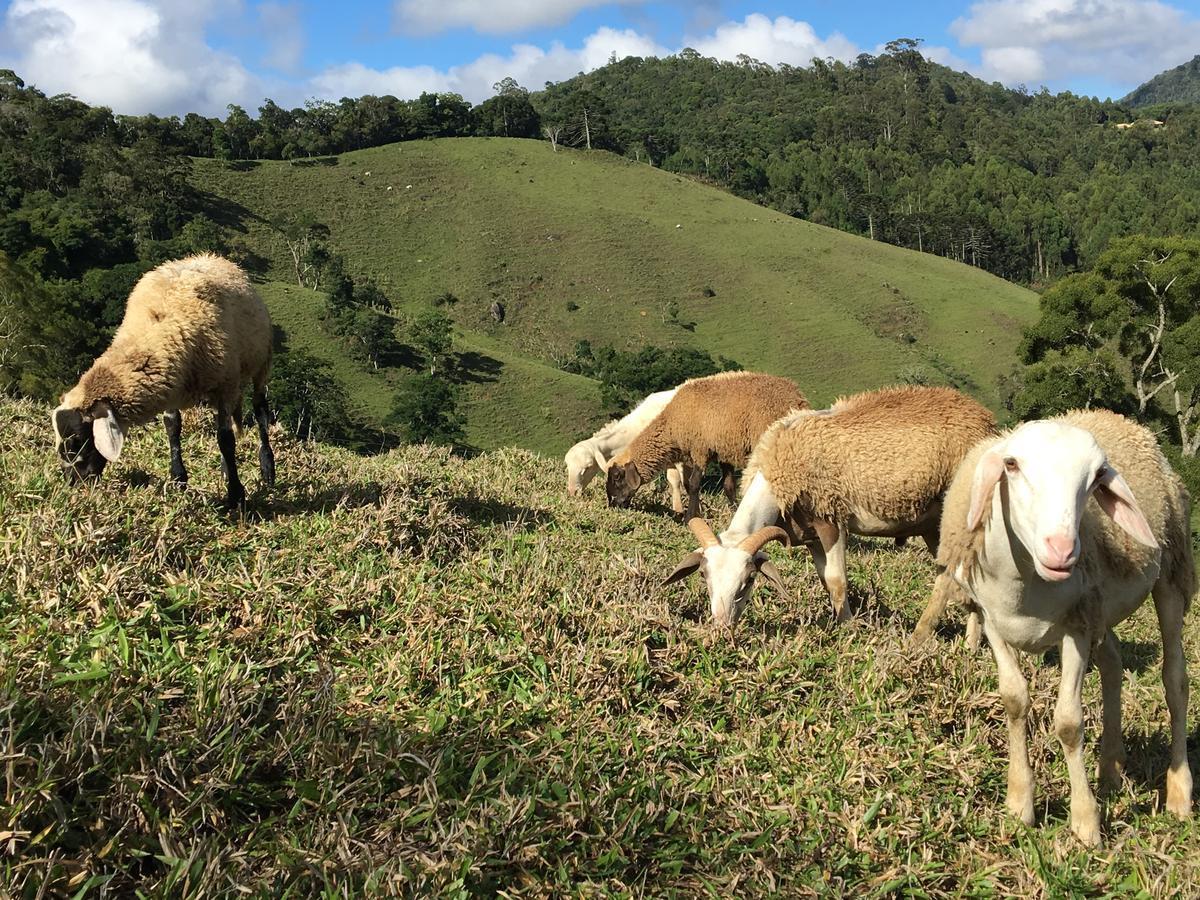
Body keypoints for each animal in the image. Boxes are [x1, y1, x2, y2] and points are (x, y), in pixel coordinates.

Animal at [52, 254, 274, 511]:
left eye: (77, 440)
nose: (72, 481)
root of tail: (210, 256)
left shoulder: (225, 385)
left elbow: (225, 439)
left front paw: (236, 495)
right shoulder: (172, 387)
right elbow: (173, 427)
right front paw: (178, 478)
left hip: (260, 362)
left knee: (259, 410)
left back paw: (267, 468)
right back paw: (226, 469)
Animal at [667, 386, 993, 628]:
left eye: (748, 580)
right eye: (704, 575)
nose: (721, 626)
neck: (780, 470)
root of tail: (985, 419)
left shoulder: (830, 520)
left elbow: (837, 582)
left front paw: (847, 629)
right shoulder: (810, 535)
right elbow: (825, 581)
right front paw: (837, 622)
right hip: (933, 527)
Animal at [916, 412, 1190, 849]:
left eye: (1097, 477)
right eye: (1011, 465)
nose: (1061, 550)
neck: (1025, 586)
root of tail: (1125, 421)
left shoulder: (1074, 629)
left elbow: (1068, 722)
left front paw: (1085, 821)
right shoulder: (995, 622)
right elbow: (1013, 700)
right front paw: (1019, 803)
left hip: (1170, 575)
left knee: (1175, 681)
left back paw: (1179, 792)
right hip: (1101, 608)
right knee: (1113, 665)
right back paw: (1110, 768)